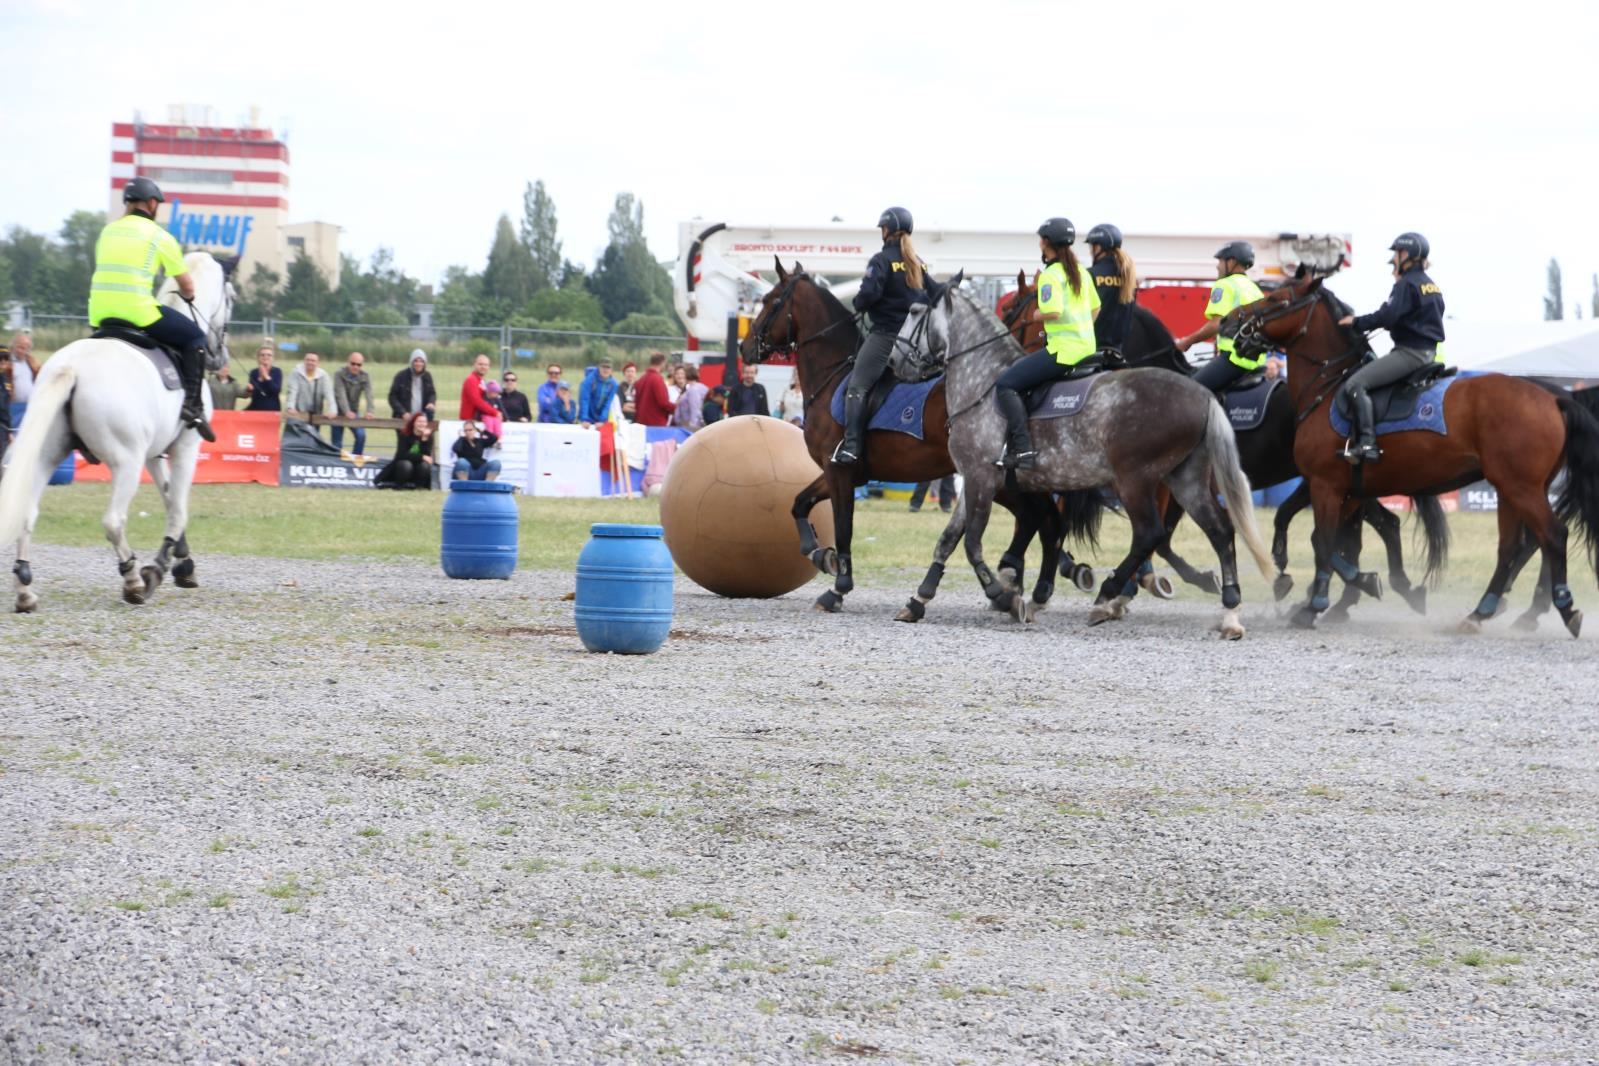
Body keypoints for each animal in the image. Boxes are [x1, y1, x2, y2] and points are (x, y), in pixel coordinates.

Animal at [0, 250, 233, 613]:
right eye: (231, 298)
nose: (219, 357)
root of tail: (73, 367)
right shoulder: (185, 447)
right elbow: (178, 509)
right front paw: (161, 568)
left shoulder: (153, 453)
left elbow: (168, 497)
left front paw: (183, 561)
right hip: (126, 464)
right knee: (113, 521)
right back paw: (134, 580)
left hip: (45, 457)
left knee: (27, 513)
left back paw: (25, 591)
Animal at [1228, 271, 1599, 632]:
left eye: (1276, 299)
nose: (1232, 323)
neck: (1328, 387)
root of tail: (1554, 397)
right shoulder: (1351, 492)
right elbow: (1332, 541)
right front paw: (1367, 583)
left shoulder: (1325, 486)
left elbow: (1323, 541)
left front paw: (1313, 605)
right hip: (1511, 490)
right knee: (1513, 546)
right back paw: (1483, 612)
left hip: (1521, 488)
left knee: (1552, 536)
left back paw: (1561, 607)